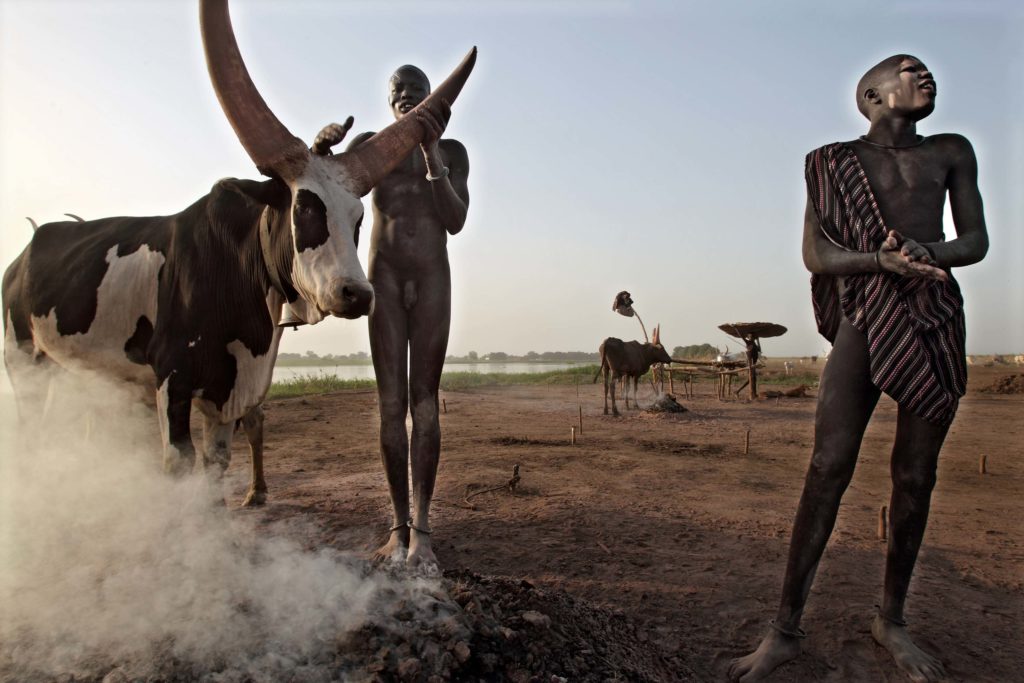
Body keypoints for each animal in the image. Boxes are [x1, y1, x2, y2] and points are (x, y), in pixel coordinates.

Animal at [2, 0, 475, 505]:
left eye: (358, 218)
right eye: (304, 208)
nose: (358, 295)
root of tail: (23, 254)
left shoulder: (230, 391)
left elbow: (216, 464)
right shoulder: (172, 378)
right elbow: (179, 464)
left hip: (65, 370)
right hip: (21, 356)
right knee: (30, 425)